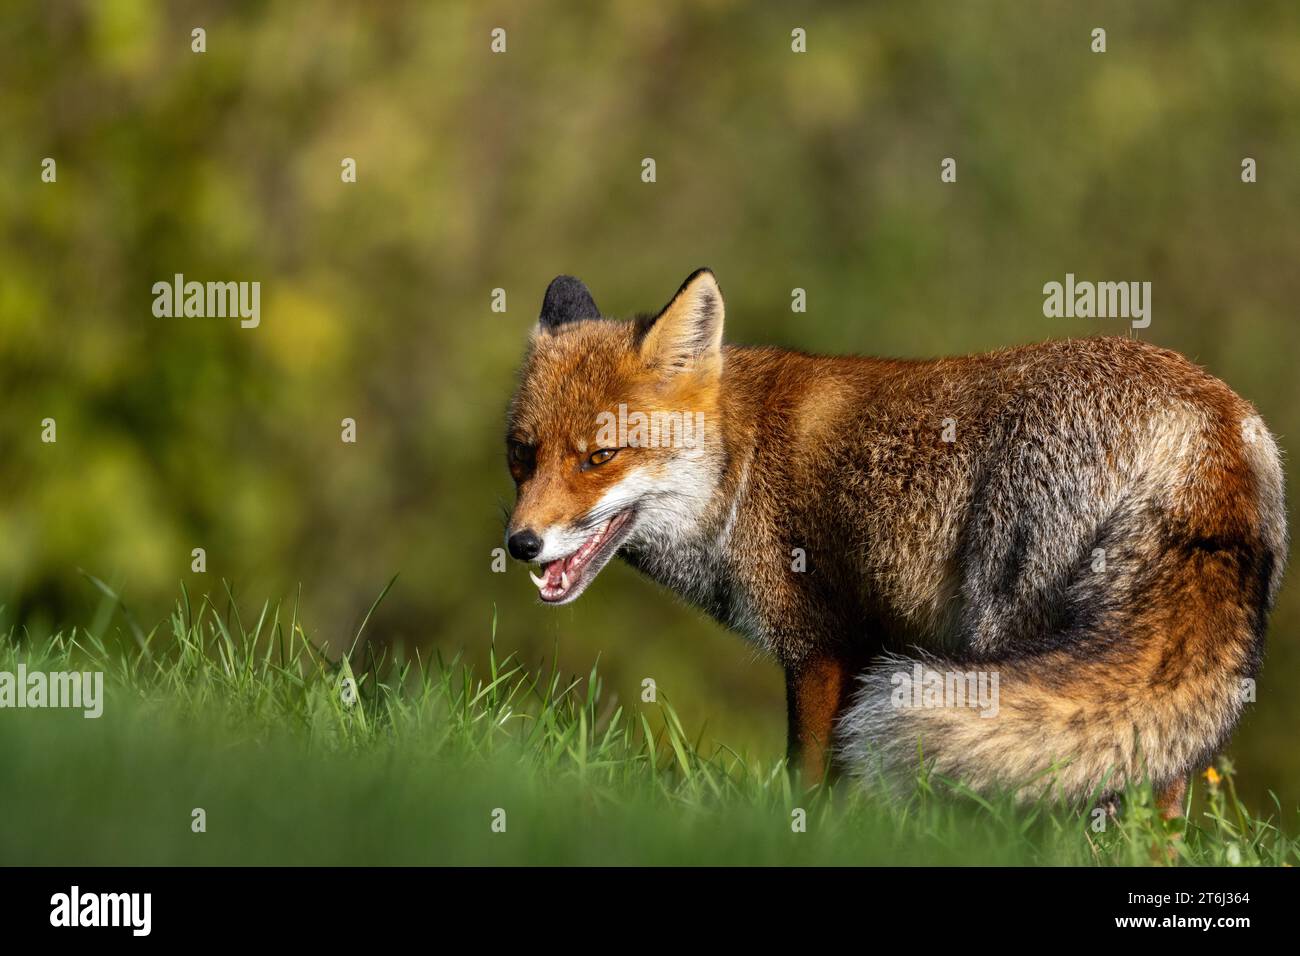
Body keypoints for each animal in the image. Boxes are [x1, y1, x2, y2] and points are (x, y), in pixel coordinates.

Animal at [504, 268, 1287, 814]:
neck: (740, 466)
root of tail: (1204, 419)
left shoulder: (822, 644)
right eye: (521, 455)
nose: (520, 544)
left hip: (1002, 631)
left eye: (599, 457)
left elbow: (807, 778)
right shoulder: (862, 648)